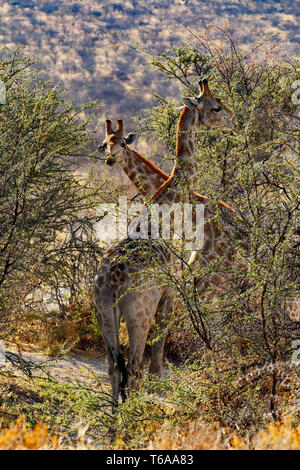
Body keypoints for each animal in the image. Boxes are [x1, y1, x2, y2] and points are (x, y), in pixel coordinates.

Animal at [95, 78, 233, 404]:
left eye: (121, 143)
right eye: (216, 106)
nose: (232, 121)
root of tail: (112, 283)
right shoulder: (168, 295)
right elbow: (156, 359)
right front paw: (160, 388)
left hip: (104, 313)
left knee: (113, 366)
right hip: (139, 314)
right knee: (132, 366)